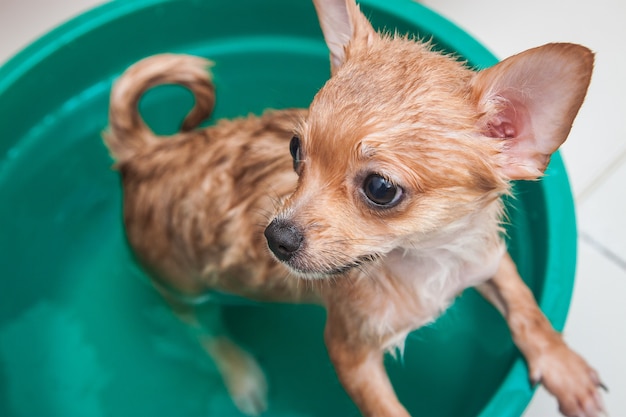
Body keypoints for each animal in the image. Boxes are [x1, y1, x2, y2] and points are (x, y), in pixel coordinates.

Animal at [105, 0, 604, 416]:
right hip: (182, 283)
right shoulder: (351, 353)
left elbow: (525, 306)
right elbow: (387, 410)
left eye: (380, 188)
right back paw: (241, 372)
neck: (424, 260)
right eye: (295, 149)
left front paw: (563, 366)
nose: (275, 237)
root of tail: (150, 152)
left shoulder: (485, 256)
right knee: (202, 328)